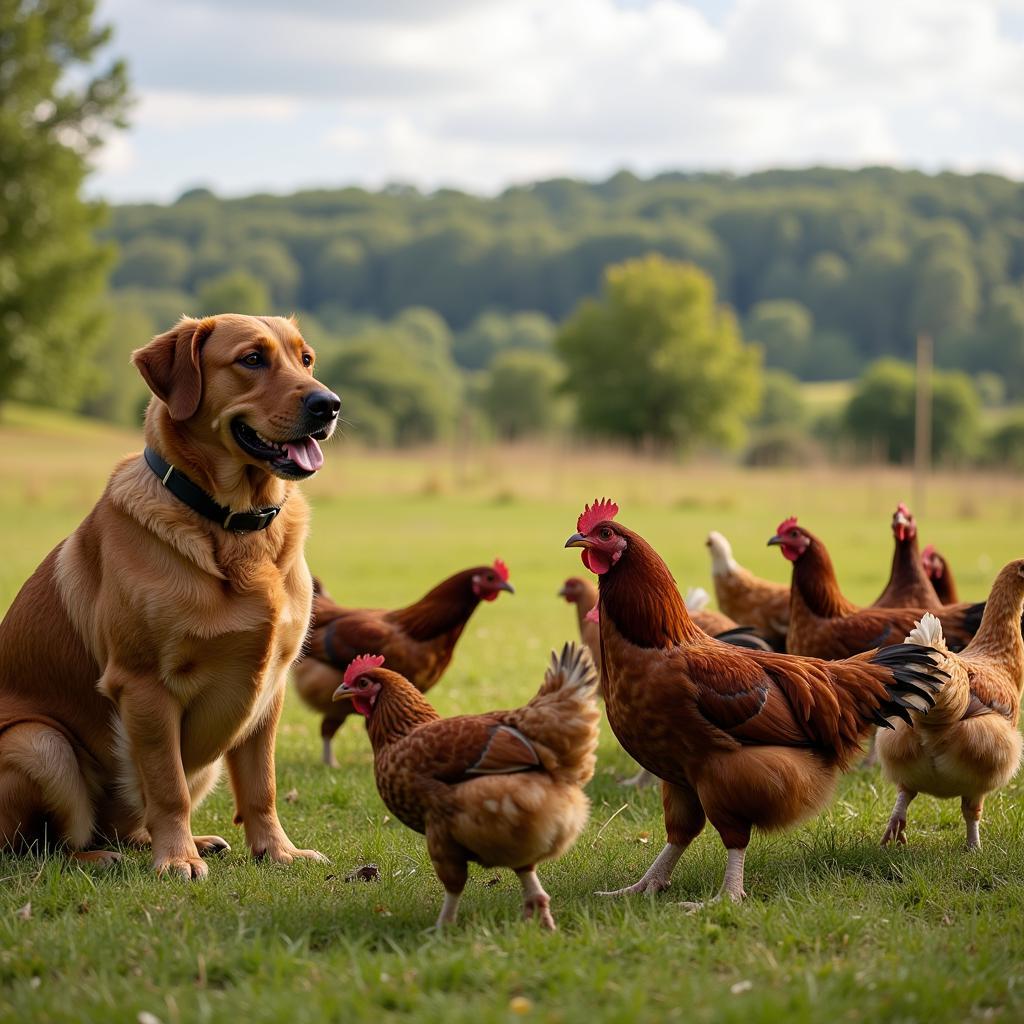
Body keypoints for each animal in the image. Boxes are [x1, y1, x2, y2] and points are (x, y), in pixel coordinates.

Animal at [0, 313, 342, 880]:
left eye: (307, 359)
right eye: (252, 359)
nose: (329, 404)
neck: (233, 525)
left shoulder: (271, 690)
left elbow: (262, 788)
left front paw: (277, 851)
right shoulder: (145, 686)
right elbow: (166, 787)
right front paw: (177, 858)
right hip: (39, 743)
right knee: (45, 845)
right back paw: (103, 855)